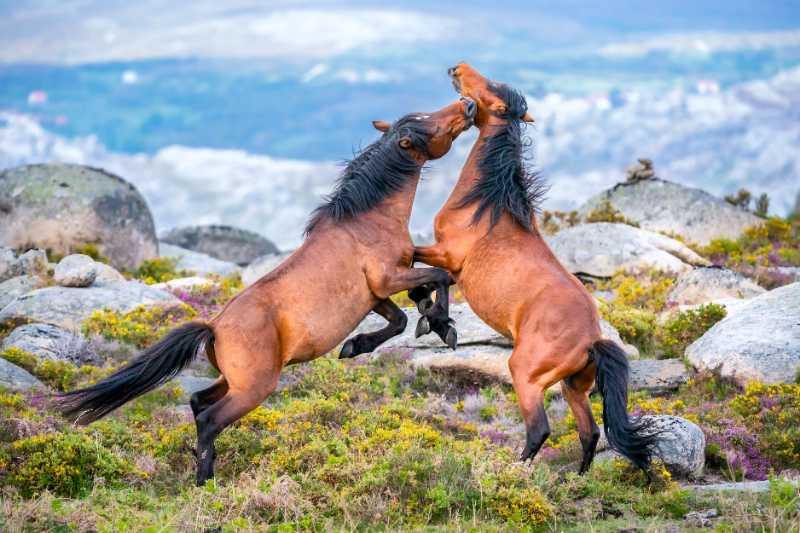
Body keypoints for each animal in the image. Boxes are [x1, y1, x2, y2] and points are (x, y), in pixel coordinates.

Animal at [57, 94, 476, 482]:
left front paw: (361, 344)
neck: (367, 221)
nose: (468, 104)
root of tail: (213, 327)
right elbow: (439, 279)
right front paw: (443, 325)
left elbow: (400, 318)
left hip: (232, 381)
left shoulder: (373, 295)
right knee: (209, 418)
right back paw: (205, 482)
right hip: (253, 389)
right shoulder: (387, 278)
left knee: (197, 402)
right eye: (426, 122)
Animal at [406, 64, 656, 476]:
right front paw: (437, 322)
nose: (457, 69)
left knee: (540, 429)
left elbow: (418, 268)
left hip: (526, 375)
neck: (487, 206)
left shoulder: (447, 256)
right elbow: (430, 282)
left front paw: (436, 323)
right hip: (573, 387)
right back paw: (576, 480)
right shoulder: (453, 267)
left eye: (492, 87)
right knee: (590, 432)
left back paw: (512, 471)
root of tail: (591, 340)